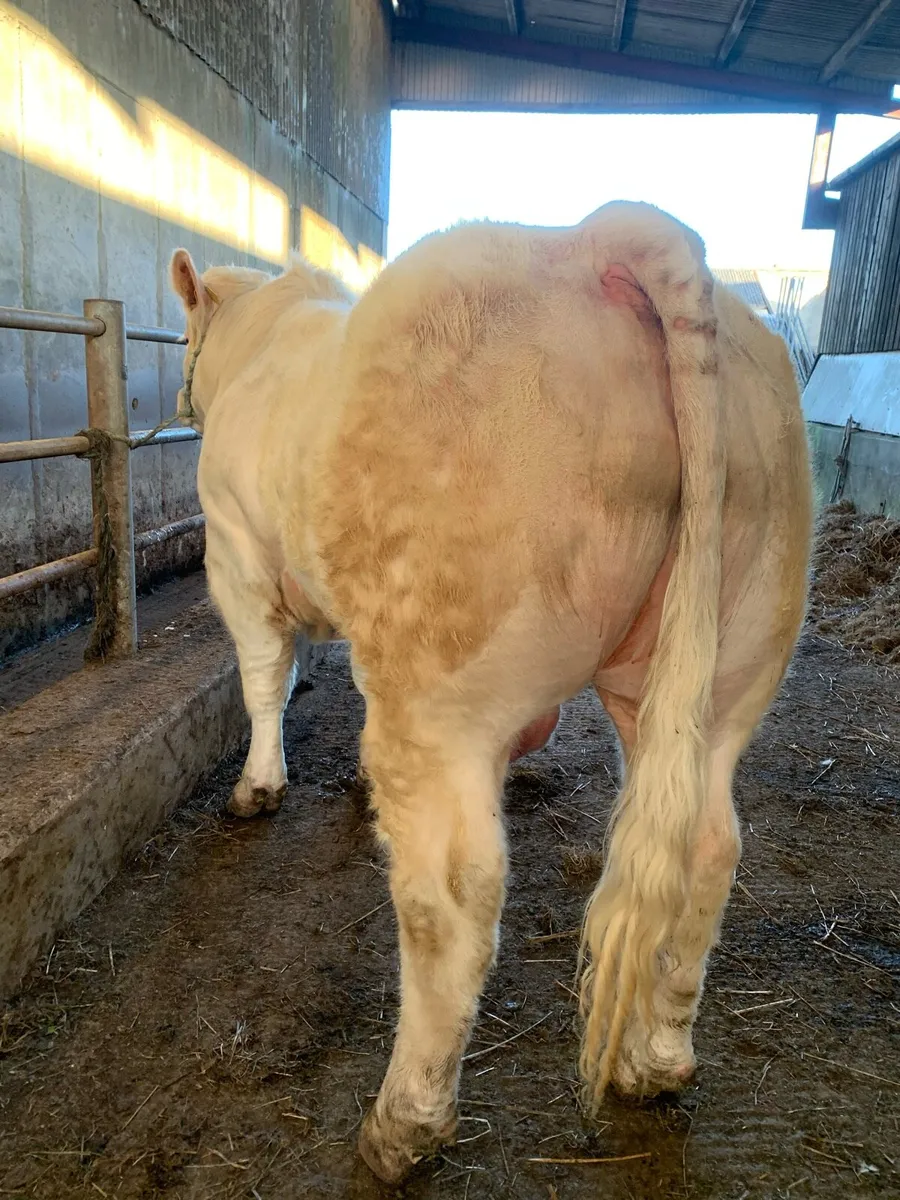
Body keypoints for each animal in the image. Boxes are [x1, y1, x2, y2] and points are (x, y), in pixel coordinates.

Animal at [170, 201, 812, 1184]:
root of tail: (603, 236)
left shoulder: (235, 553)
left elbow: (264, 677)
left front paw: (257, 787)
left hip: (441, 695)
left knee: (454, 900)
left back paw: (404, 1123)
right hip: (721, 674)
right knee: (708, 846)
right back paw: (658, 1061)